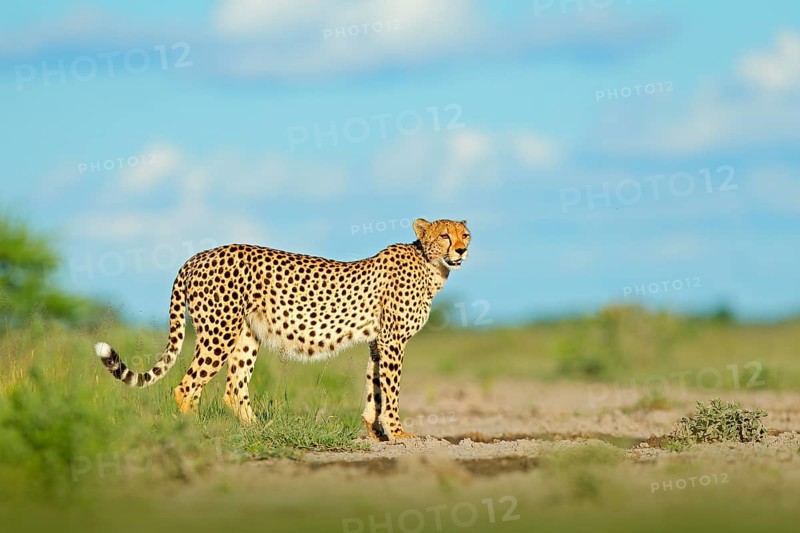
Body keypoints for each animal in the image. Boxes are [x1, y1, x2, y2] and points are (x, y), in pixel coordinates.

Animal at [94, 218, 471, 440]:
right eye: (444, 235)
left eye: (465, 233)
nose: (463, 249)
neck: (431, 265)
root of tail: (197, 256)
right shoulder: (393, 341)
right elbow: (390, 390)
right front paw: (398, 433)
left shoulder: (378, 342)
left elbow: (374, 386)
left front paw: (376, 431)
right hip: (218, 332)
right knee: (187, 386)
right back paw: (197, 431)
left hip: (247, 335)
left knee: (233, 388)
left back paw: (259, 430)